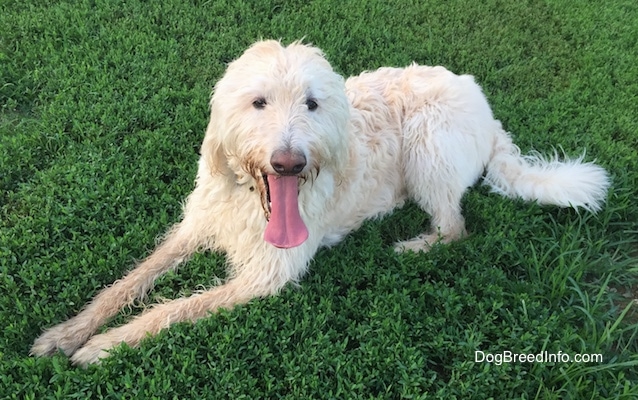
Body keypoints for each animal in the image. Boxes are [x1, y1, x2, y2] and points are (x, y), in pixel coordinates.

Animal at [30, 39, 608, 366]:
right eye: (258, 102)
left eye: (312, 103)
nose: (289, 163)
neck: (251, 203)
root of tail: (487, 110)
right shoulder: (196, 227)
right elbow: (130, 282)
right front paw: (67, 334)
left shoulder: (266, 276)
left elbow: (173, 308)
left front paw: (105, 346)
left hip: (429, 141)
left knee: (454, 227)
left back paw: (413, 246)